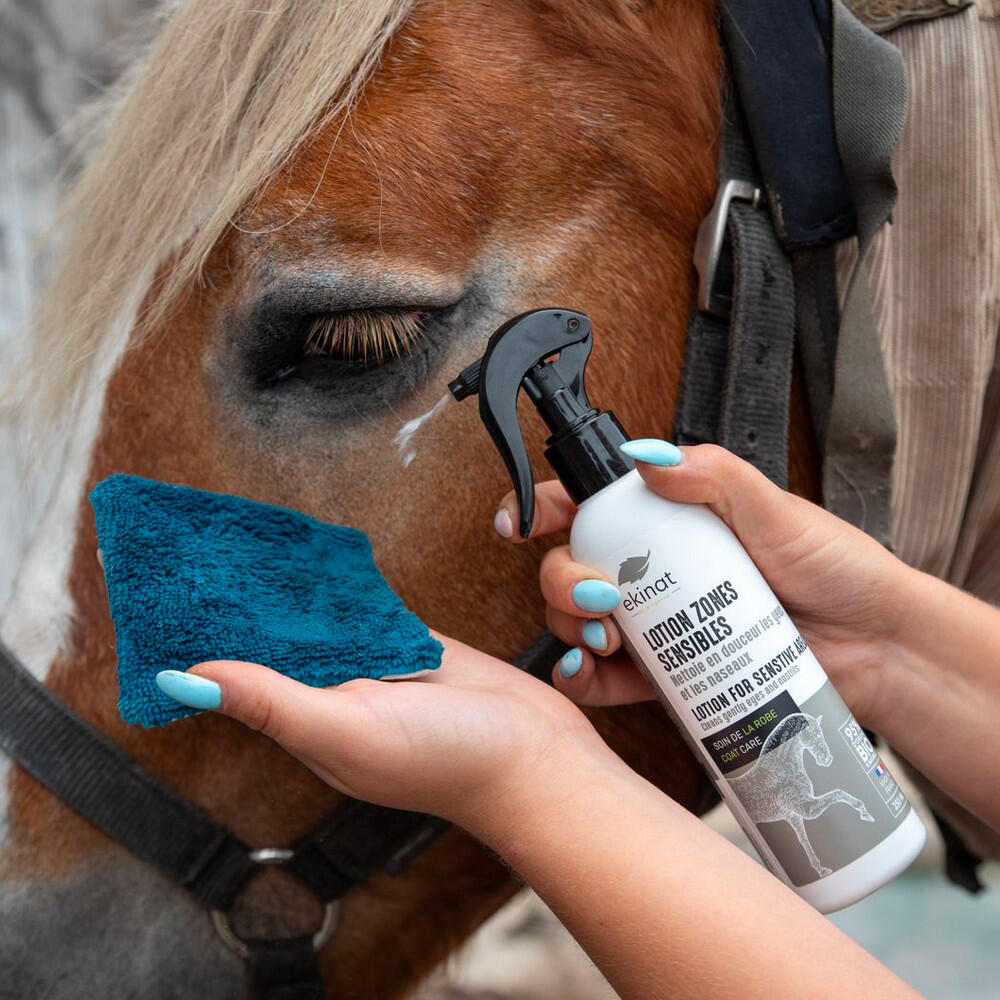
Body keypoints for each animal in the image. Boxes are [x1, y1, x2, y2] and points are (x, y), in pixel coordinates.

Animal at [729, 714, 874, 879]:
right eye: (816, 734)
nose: (827, 759)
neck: (778, 769)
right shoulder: (806, 809)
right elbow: (838, 793)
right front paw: (865, 812)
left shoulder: (793, 816)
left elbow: (803, 840)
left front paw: (821, 870)